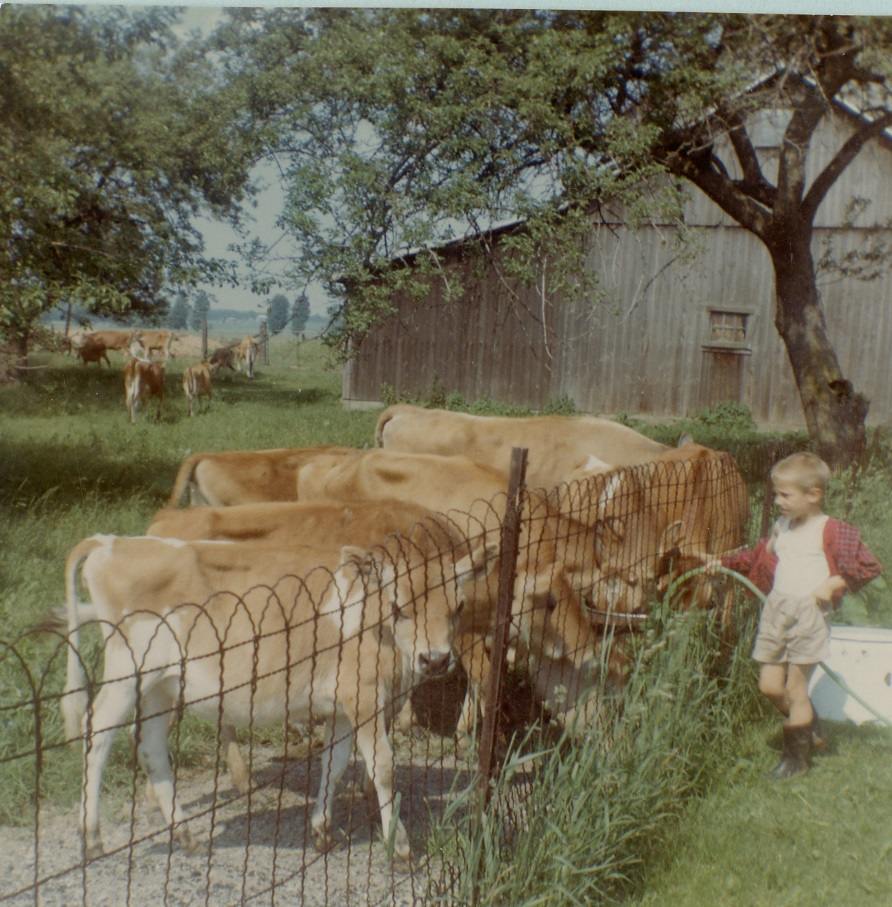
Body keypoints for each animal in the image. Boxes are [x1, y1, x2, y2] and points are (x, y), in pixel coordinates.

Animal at [62, 528, 492, 860]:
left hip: (161, 684)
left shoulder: (341, 706)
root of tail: (112, 541)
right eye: (399, 607)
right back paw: (92, 836)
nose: (435, 659)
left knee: (150, 745)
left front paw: (322, 830)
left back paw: (186, 836)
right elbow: (383, 766)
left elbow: (334, 765)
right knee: (97, 733)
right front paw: (399, 846)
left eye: (459, 606)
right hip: (127, 670)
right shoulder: (365, 697)